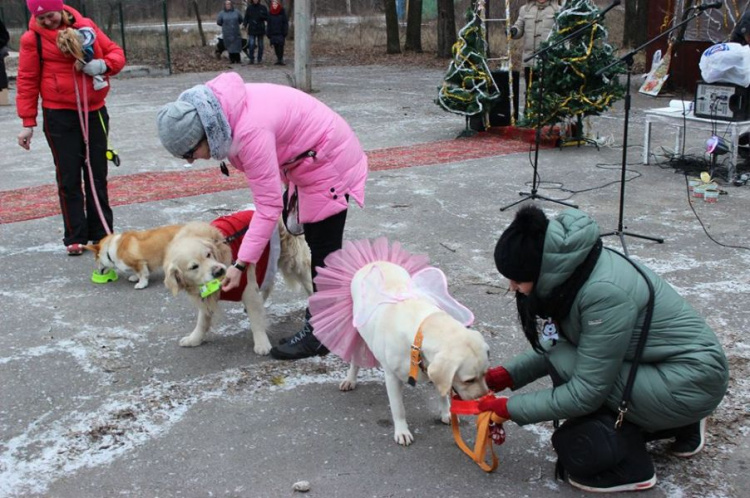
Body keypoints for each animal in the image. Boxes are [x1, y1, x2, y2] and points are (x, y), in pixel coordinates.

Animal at [164, 210, 314, 354]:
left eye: (208, 255)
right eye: (194, 267)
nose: (218, 271)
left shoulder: (248, 287)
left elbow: (256, 320)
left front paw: (262, 344)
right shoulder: (206, 294)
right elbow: (202, 319)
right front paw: (194, 338)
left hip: (296, 262)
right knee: (269, 284)